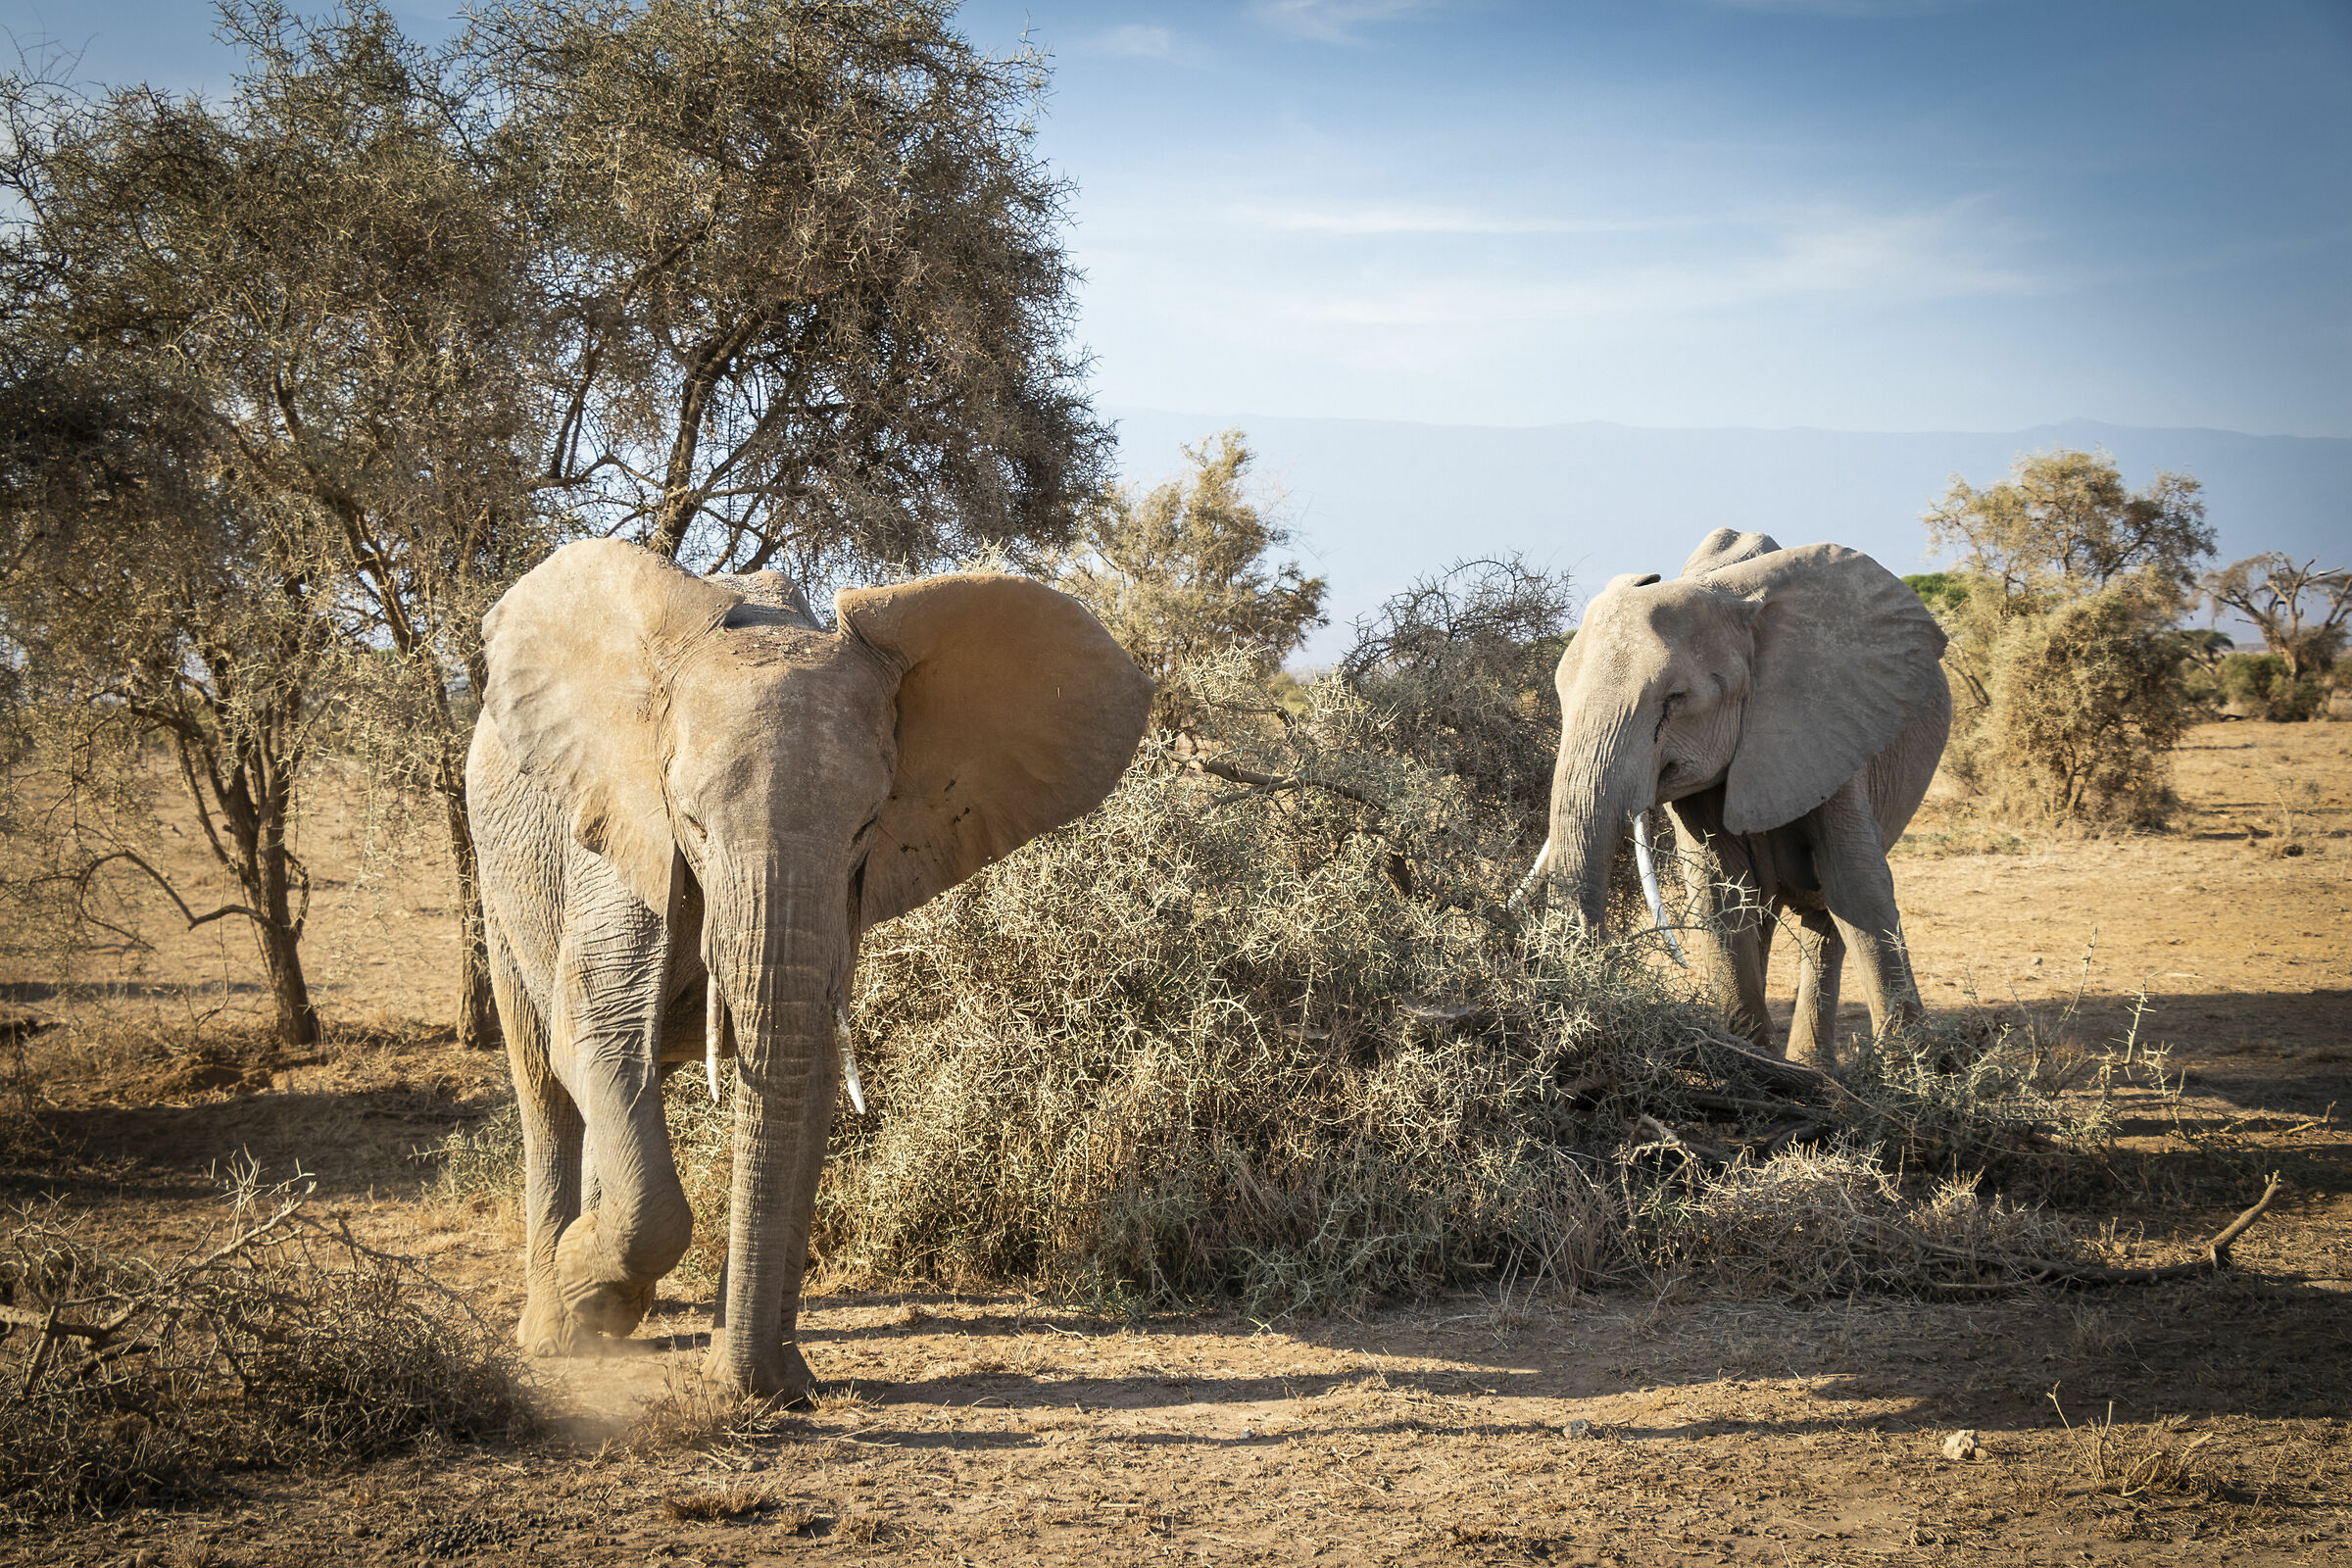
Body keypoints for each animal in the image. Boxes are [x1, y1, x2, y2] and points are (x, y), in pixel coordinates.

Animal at [465, 539, 1151, 1397]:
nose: (746, 1387)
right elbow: (602, 1032)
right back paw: (559, 1331)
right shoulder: (624, 831)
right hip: (500, 878)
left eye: (867, 826)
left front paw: (778, 1384)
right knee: (545, 1082)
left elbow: (812, 1066)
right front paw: (594, 1289)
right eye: (690, 821)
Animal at [1525, 530, 1949, 1066]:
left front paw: (1911, 1075)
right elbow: (1719, 895)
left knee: (1825, 911)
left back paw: (1814, 1068)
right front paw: (1753, 1063)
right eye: (1560, 693)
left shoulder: (1832, 726)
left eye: (1676, 700)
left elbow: (1855, 883)